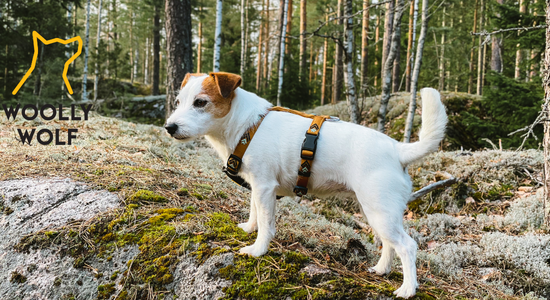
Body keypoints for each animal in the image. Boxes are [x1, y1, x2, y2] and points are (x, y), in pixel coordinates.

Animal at [167, 71, 448, 298]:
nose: (169, 127)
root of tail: (398, 149)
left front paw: (258, 249)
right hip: (378, 212)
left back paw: (408, 289)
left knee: (407, 246)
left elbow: (266, 224)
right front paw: (248, 228)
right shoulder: (258, 187)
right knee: (390, 244)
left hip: (380, 212)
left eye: (201, 102)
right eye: (178, 102)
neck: (247, 125)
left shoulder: (265, 187)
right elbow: (254, 211)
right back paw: (381, 269)